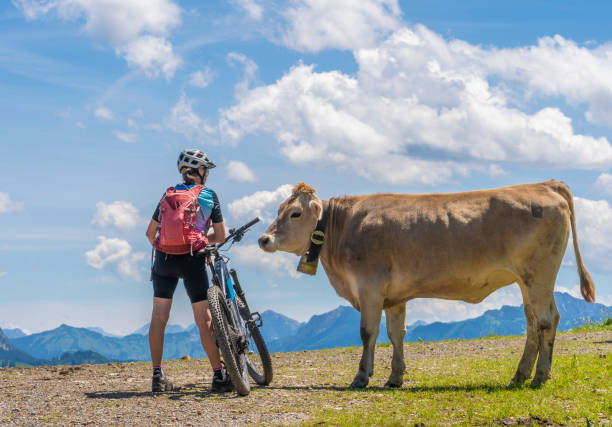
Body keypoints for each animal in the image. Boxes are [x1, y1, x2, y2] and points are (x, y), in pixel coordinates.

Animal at [256, 182, 592, 390]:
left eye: (295, 213)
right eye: (278, 210)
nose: (263, 239)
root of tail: (544, 184)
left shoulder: (369, 287)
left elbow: (368, 333)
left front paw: (362, 376)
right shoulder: (394, 296)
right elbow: (397, 333)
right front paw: (395, 376)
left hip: (539, 276)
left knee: (547, 320)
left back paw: (539, 377)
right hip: (526, 281)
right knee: (533, 322)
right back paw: (520, 375)